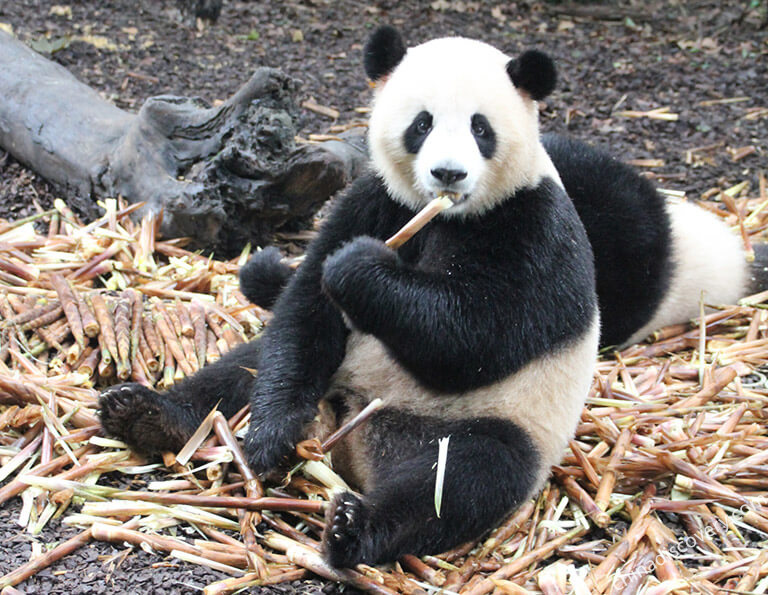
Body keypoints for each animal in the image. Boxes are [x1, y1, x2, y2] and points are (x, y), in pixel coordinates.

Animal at [100, 26, 760, 568]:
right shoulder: (373, 199)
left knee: (459, 483)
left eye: (480, 127)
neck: (445, 215)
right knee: (243, 371)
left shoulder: (535, 226)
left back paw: (353, 528)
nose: (448, 174)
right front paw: (267, 439)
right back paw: (146, 413)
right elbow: (304, 312)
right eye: (421, 123)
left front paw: (361, 269)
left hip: (493, 425)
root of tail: (352, 439)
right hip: (331, 376)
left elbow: (477, 338)